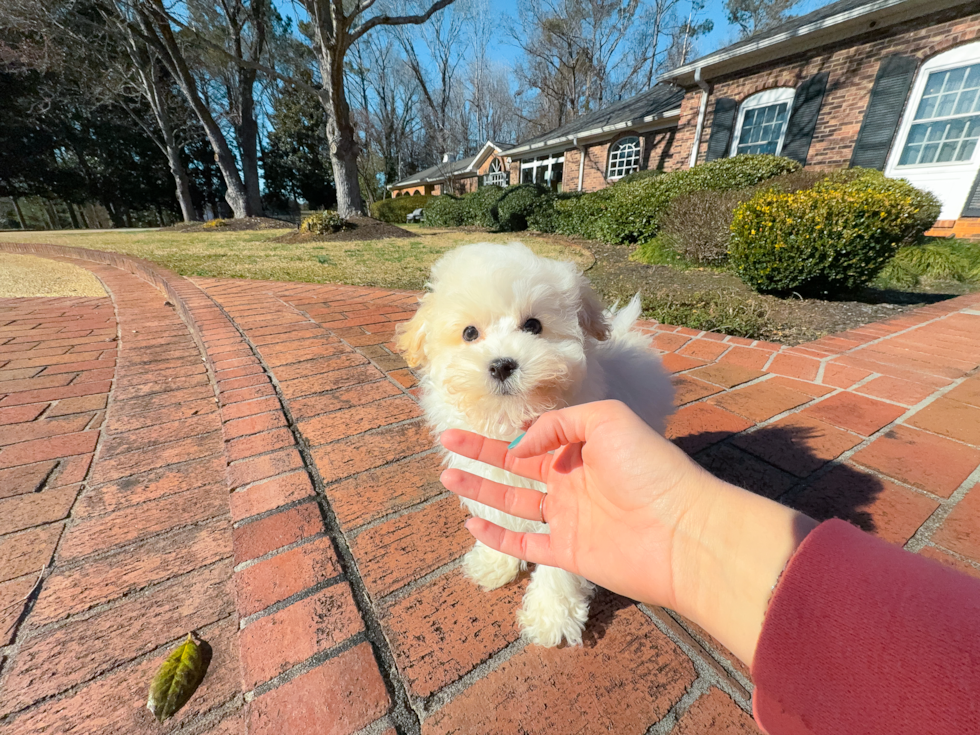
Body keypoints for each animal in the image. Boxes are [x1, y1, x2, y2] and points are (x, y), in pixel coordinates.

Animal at [394, 244, 668, 648]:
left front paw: (552, 616)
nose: (502, 365)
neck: (514, 421)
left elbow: (561, 556)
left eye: (534, 326)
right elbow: (497, 516)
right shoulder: (487, 474)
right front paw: (494, 563)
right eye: (470, 333)